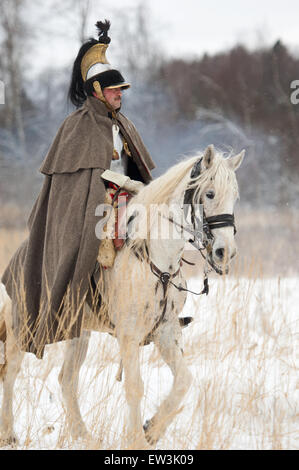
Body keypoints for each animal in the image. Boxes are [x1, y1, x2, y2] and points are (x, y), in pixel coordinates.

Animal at [0, 144, 245, 448]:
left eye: (234, 196)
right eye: (209, 194)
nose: (225, 252)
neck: (154, 256)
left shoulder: (166, 331)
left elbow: (184, 381)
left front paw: (152, 429)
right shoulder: (129, 335)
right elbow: (134, 386)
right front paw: (137, 439)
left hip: (78, 332)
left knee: (66, 379)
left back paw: (83, 435)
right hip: (21, 326)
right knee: (11, 372)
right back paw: (9, 433)